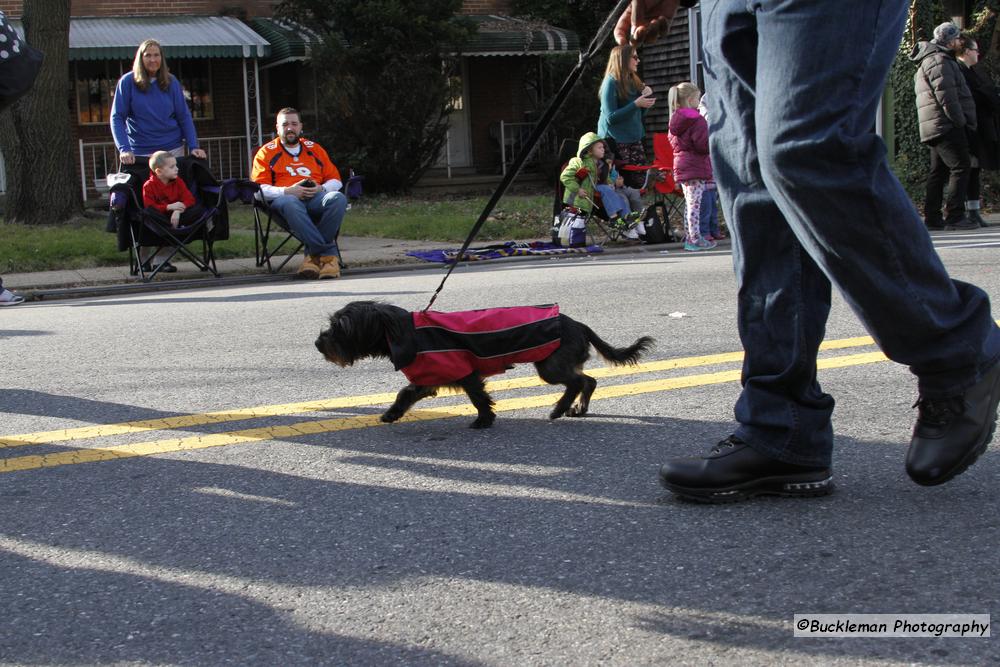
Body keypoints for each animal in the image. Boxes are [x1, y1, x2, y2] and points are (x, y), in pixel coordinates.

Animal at [314, 302, 656, 428]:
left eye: (341, 326)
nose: (318, 343)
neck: (406, 332)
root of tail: (580, 325)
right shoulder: (428, 377)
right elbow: (405, 394)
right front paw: (391, 414)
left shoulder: (465, 373)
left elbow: (478, 397)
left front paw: (484, 420)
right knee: (589, 380)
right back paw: (578, 409)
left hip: (550, 366)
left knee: (576, 382)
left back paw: (559, 409)